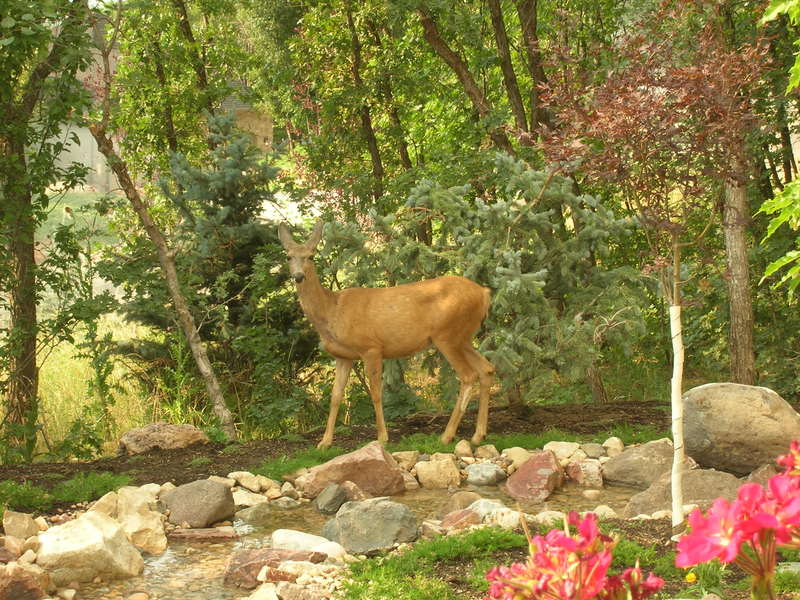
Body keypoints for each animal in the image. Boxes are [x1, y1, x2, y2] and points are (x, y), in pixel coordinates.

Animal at [280, 223, 494, 448]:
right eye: (288, 256)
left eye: (311, 256)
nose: (298, 276)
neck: (332, 312)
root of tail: (484, 293)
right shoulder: (343, 356)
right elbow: (336, 396)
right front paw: (325, 442)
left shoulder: (371, 347)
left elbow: (375, 393)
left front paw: (382, 437)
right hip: (463, 337)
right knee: (486, 369)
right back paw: (478, 434)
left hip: (447, 335)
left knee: (468, 375)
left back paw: (447, 435)